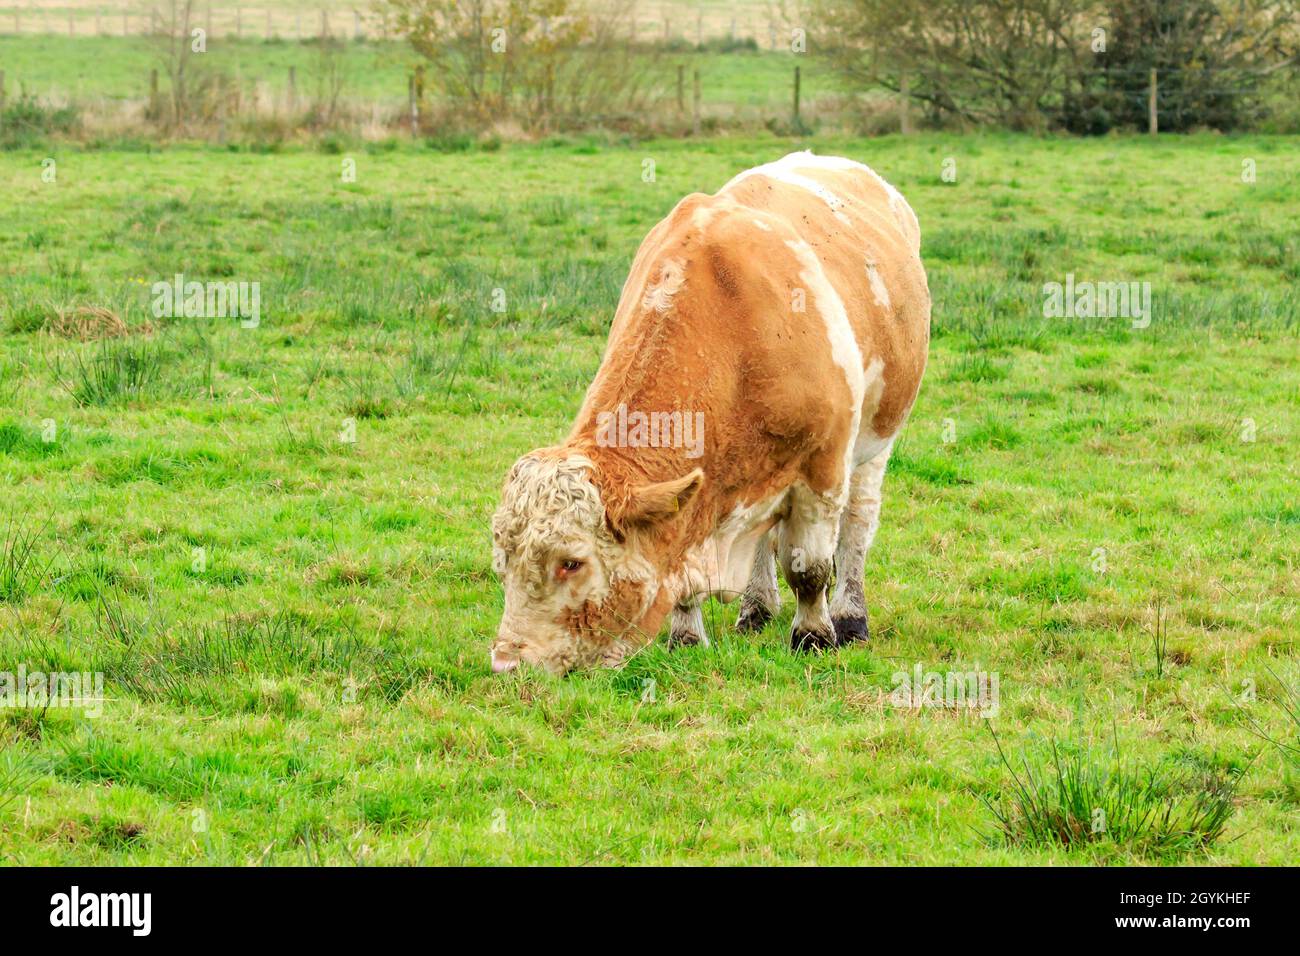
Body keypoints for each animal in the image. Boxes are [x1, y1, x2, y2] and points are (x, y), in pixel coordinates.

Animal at [490, 151, 930, 674]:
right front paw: (685, 634)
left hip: (875, 440)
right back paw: (756, 606)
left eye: (571, 562)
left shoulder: (822, 467)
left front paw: (814, 634)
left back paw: (849, 614)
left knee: (857, 528)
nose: (506, 663)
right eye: (503, 559)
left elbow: (809, 567)